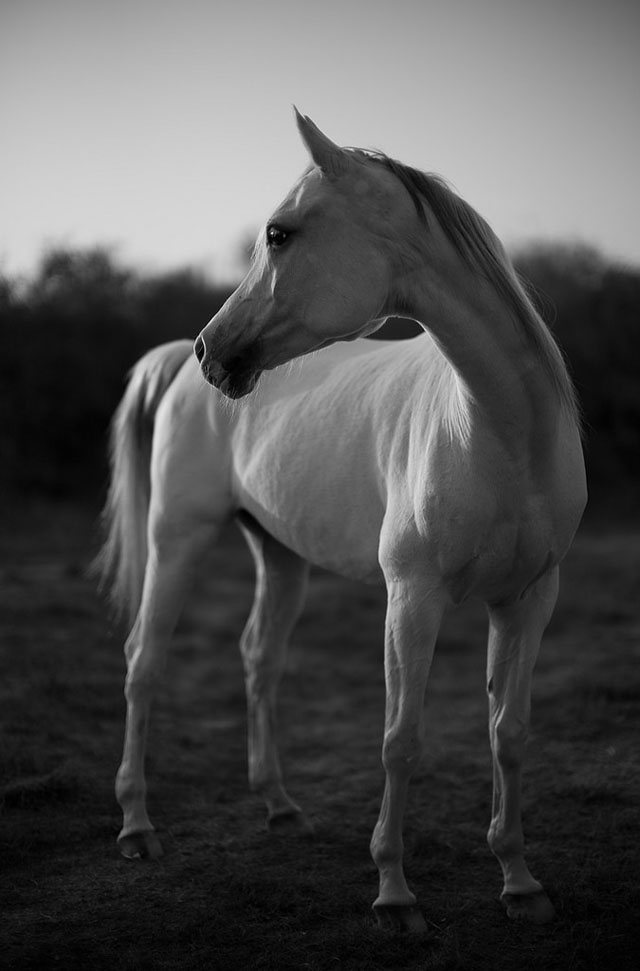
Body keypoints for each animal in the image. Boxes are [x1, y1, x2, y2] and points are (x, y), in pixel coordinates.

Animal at [99, 108, 584, 936]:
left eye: (279, 233)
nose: (212, 348)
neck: (500, 429)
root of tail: (171, 366)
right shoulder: (413, 597)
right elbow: (401, 740)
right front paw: (394, 894)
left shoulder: (529, 598)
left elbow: (509, 733)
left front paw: (520, 881)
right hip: (177, 540)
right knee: (143, 661)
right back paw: (136, 826)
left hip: (280, 554)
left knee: (259, 658)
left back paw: (279, 805)